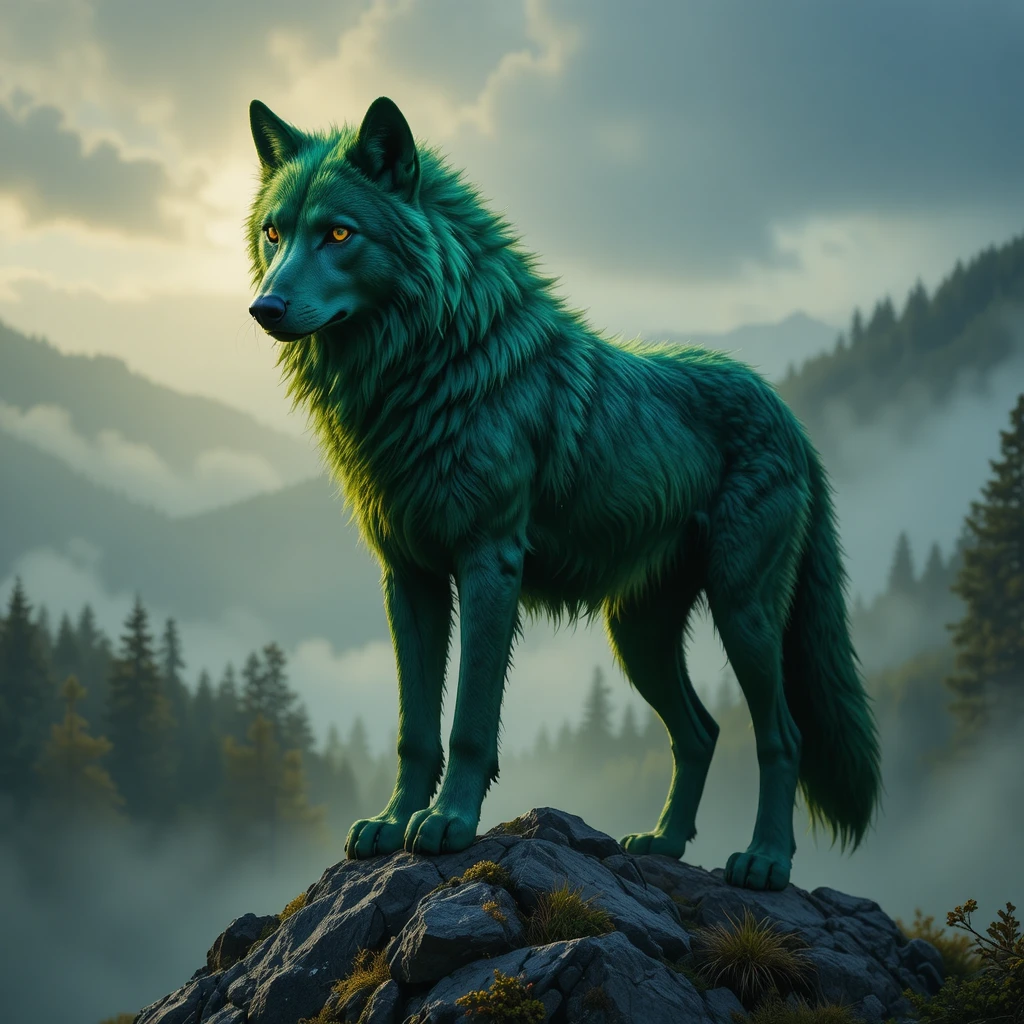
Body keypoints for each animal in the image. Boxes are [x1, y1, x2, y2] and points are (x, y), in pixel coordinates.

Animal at [246, 96, 881, 890]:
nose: (264, 307)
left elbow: (470, 720)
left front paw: (448, 824)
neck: (430, 370)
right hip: (637, 635)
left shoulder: (489, 564)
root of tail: (790, 413)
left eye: (338, 233)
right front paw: (392, 824)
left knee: (781, 734)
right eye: (275, 233)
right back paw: (662, 843)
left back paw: (764, 861)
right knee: (701, 731)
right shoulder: (408, 578)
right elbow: (414, 728)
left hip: (745, 616)